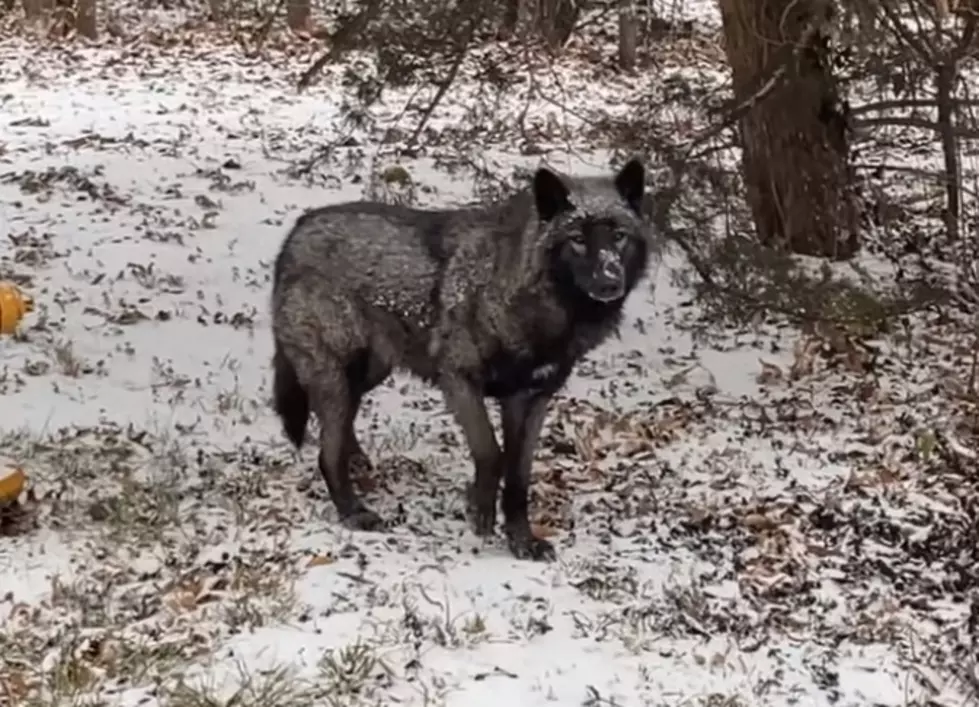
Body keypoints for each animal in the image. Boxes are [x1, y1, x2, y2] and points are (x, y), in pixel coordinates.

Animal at [268, 158, 660, 560]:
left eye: (618, 237)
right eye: (578, 239)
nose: (610, 281)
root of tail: (295, 233)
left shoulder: (530, 399)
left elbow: (518, 476)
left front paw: (522, 541)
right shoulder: (459, 381)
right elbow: (490, 453)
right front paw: (480, 512)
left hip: (370, 370)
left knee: (342, 419)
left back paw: (359, 462)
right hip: (335, 374)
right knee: (326, 452)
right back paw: (354, 512)